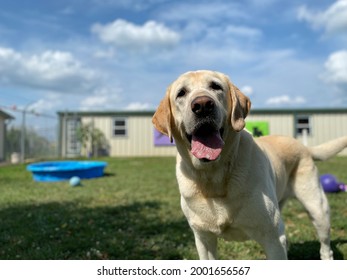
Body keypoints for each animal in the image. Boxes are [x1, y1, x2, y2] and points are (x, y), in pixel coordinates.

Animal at [154, 70, 347, 260]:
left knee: (325, 245)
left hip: (317, 209)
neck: (214, 176)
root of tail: (303, 146)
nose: (202, 105)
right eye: (181, 93)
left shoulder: (273, 237)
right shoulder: (203, 238)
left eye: (216, 86)